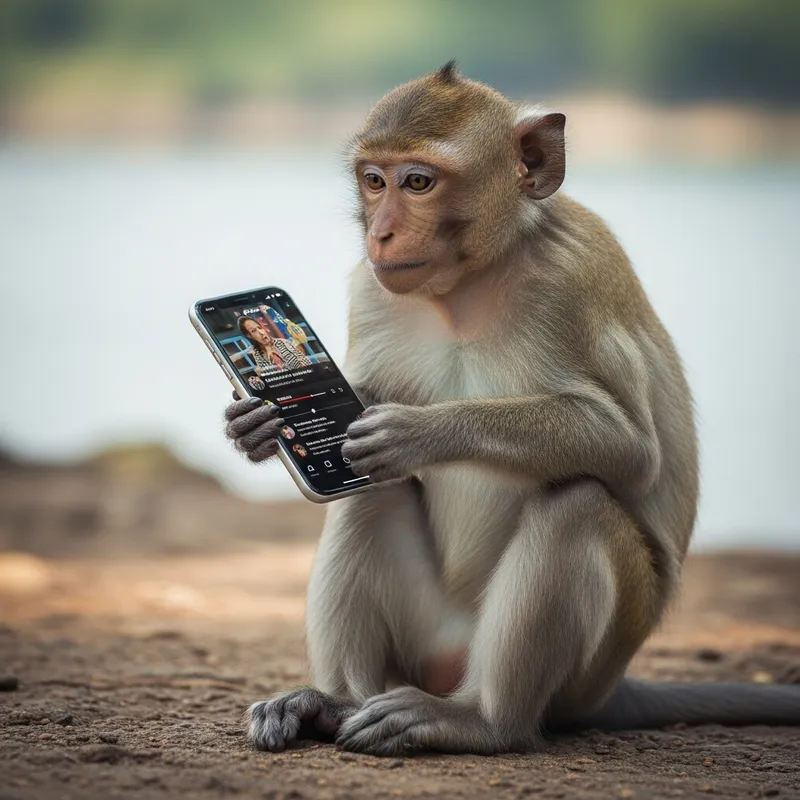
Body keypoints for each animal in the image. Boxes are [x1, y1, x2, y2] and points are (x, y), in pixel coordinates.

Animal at [223, 62, 800, 756]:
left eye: (419, 182)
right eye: (374, 180)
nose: (380, 232)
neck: (468, 284)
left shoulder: (571, 280)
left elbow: (631, 450)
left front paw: (419, 432)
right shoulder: (370, 287)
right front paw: (254, 425)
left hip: (586, 667)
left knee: (577, 505)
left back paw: (482, 720)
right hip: (427, 637)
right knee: (369, 495)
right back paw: (332, 702)